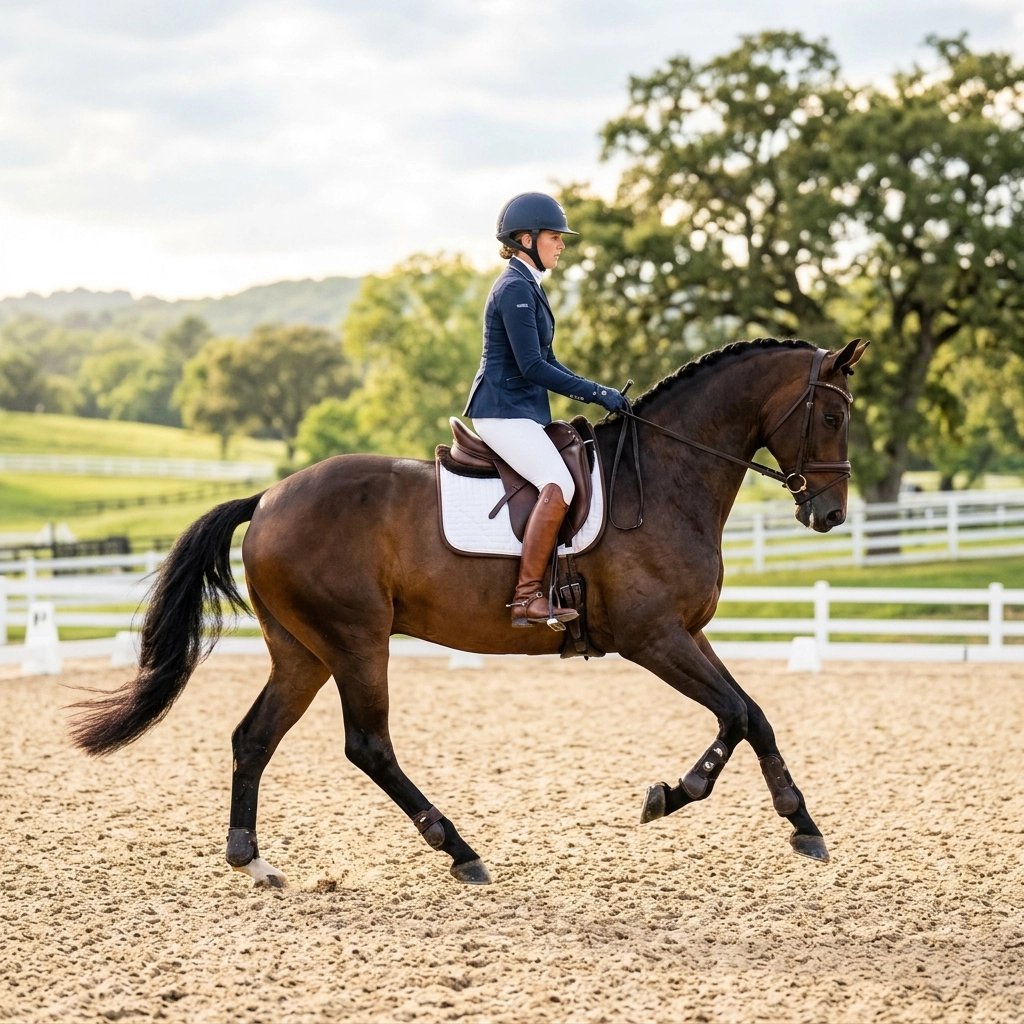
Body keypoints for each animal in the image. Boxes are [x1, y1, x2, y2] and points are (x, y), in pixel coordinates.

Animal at [71, 336, 868, 888]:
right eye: (830, 415)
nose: (828, 513)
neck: (667, 476)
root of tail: (267, 498)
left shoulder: (688, 634)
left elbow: (753, 714)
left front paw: (801, 823)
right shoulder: (654, 638)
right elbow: (733, 714)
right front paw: (672, 796)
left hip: (303, 652)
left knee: (254, 738)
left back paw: (254, 861)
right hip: (355, 642)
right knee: (368, 746)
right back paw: (460, 851)